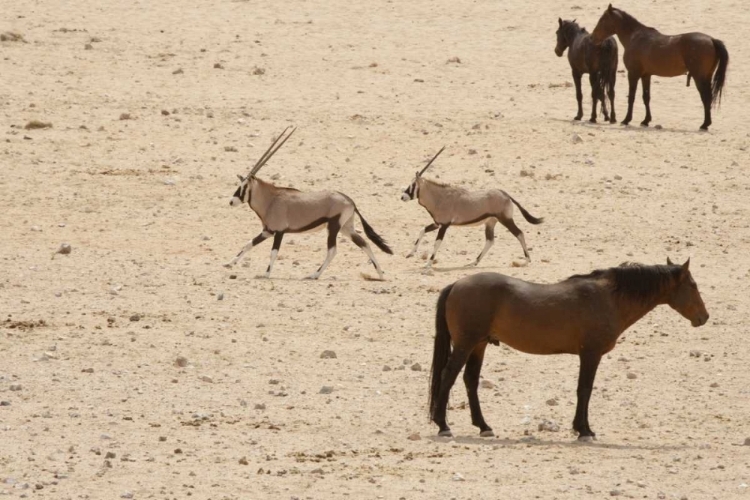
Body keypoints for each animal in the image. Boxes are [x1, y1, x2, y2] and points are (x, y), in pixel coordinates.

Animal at [428, 260, 712, 440]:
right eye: (693, 285)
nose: (704, 317)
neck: (608, 298)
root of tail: (456, 284)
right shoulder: (590, 354)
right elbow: (584, 390)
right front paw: (584, 430)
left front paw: (581, 428)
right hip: (466, 344)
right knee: (448, 377)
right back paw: (443, 425)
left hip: (479, 344)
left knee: (470, 380)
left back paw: (483, 426)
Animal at [592, 4, 728, 130]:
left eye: (602, 20)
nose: (593, 37)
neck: (635, 37)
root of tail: (711, 39)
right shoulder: (646, 75)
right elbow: (646, 97)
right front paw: (646, 120)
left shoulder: (633, 74)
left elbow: (631, 97)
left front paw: (626, 120)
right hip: (707, 77)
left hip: (699, 77)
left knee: (706, 97)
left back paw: (705, 124)